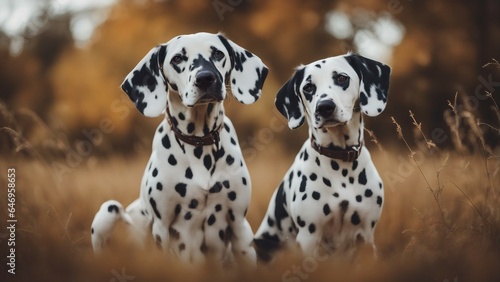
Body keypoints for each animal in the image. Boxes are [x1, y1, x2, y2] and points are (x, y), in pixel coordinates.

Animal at [91, 32, 268, 264]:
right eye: (177, 59)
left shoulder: (239, 225)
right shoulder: (162, 227)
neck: (199, 142)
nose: (206, 78)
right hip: (110, 209)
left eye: (218, 53)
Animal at [254, 53, 390, 262]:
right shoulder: (309, 236)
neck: (341, 162)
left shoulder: (366, 235)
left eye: (341, 78)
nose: (325, 107)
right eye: (308, 87)